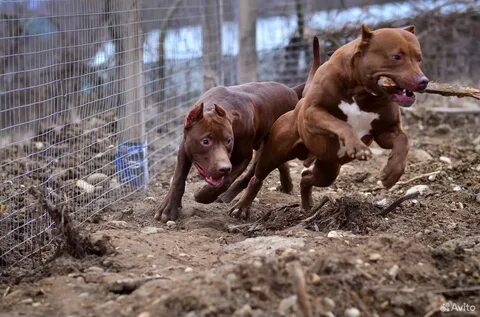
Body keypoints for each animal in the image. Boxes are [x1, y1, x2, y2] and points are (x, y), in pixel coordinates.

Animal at [156, 37, 320, 221]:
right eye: (205, 141)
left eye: (229, 141)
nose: (224, 168)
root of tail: (291, 91)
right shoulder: (185, 147)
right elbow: (178, 178)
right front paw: (169, 208)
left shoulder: (243, 156)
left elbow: (226, 180)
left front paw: (205, 195)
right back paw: (285, 184)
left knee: (253, 174)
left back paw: (230, 198)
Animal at [231, 25, 430, 217]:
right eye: (396, 57)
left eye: (419, 59)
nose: (424, 81)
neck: (361, 92)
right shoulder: (313, 112)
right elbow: (340, 123)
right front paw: (357, 146)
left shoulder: (386, 130)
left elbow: (403, 140)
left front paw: (392, 173)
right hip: (275, 152)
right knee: (257, 177)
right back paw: (241, 207)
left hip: (329, 168)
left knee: (306, 178)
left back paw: (307, 205)